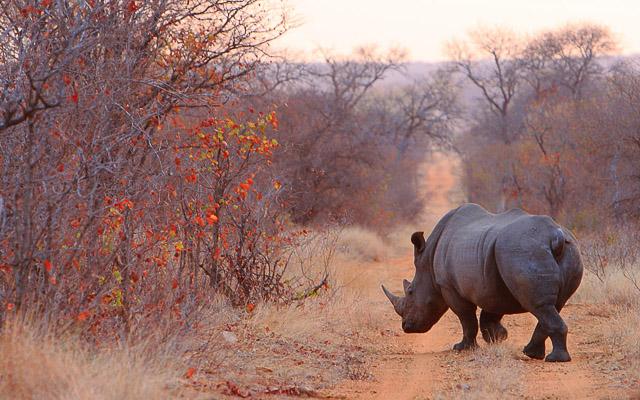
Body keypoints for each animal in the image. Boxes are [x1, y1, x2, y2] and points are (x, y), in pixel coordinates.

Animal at [382, 203, 583, 362]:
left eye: (410, 292)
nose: (406, 327)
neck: (428, 261)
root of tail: (555, 235)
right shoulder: (492, 284)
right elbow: (490, 312)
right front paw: (499, 337)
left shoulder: (448, 286)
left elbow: (466, 318)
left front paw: (462, 347)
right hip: (560, 251)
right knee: (553, 305)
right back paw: (532, 353)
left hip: (522, 250)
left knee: (538, 305)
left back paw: (554, 359)